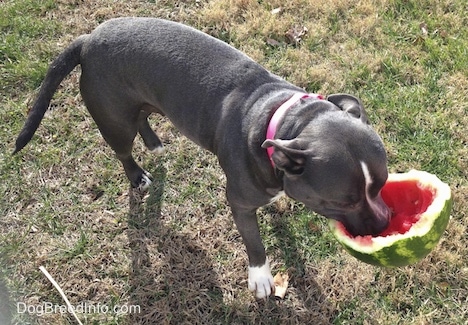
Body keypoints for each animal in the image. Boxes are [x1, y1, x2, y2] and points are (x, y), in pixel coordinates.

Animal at [13, 17, 392, 296]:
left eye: (382, 184)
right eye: (343, 202)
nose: (385, 223)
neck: (282, 119)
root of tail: (88, 39)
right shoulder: (239, 203)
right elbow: (254, 243)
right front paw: (260, 278)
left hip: (143, 100)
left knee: (143, 116)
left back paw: (155, 143)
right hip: (114, 120)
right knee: (122, 149)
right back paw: (137, 175)